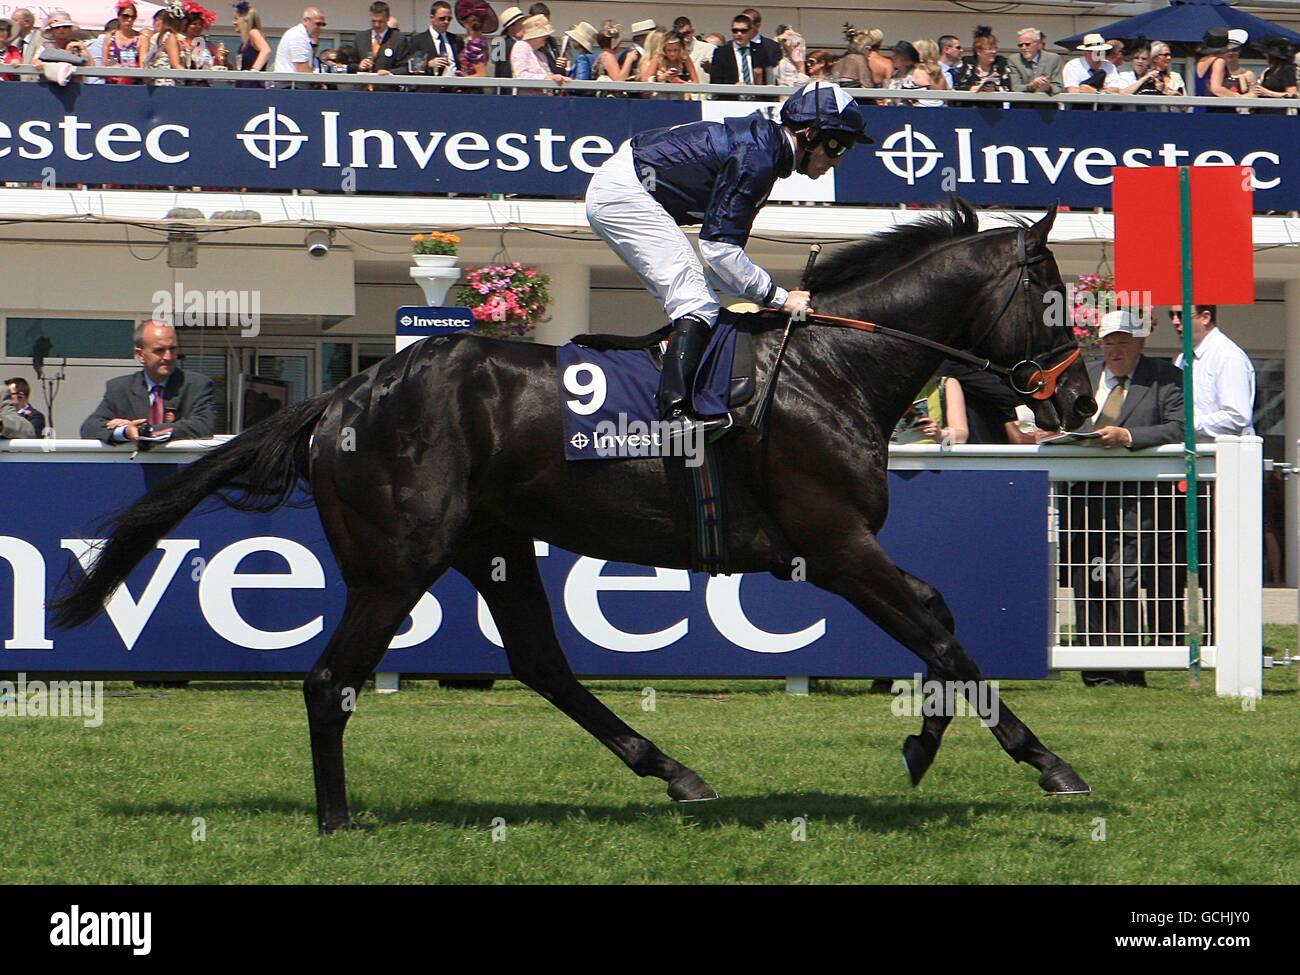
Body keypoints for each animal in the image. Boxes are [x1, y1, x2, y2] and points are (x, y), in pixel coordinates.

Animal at [58, 198, 1097, 832]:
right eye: (1054, 298)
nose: (1081, 399)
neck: (828, 368)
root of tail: (344, 398)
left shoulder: (838, 550)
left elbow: (940, 625)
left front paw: (923, 743)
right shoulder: (835, 543)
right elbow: (944, 634)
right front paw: (1049, 763)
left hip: (493, 544)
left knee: (541, 663)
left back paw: (675, 772)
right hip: (396, 562)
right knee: (328, 681)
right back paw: (336, 818)